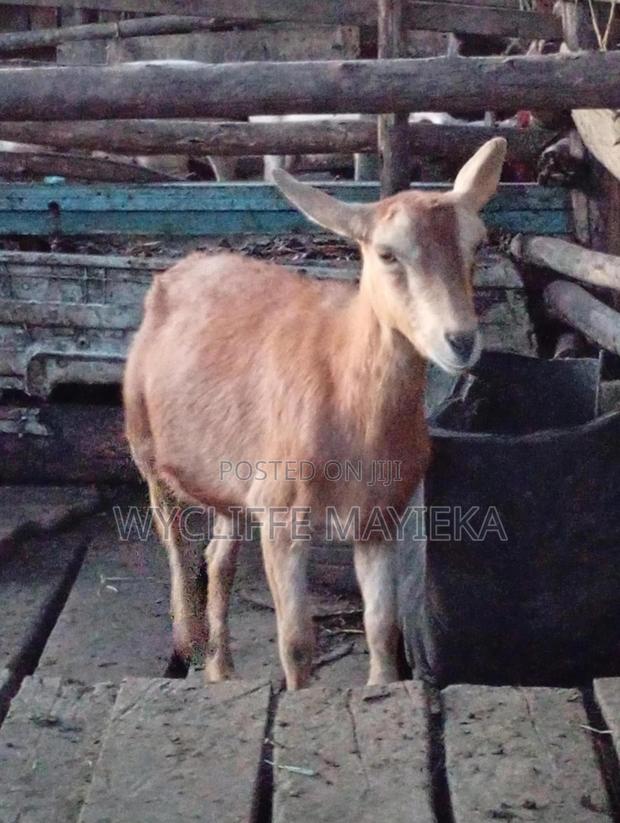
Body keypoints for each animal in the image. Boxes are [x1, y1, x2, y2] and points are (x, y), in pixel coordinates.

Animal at [123, 137, 507, 689]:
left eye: (477, 244)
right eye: (387, 254)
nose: (460, 341)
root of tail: (180, 269)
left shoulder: (378, 515)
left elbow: (381, 628)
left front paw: (380, 685)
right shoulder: (282, 516)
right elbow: (297, 642)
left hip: (229, 477)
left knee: (219, 560)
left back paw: (221, 668)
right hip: (145, 447)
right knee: (175, 545)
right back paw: (186, 647)